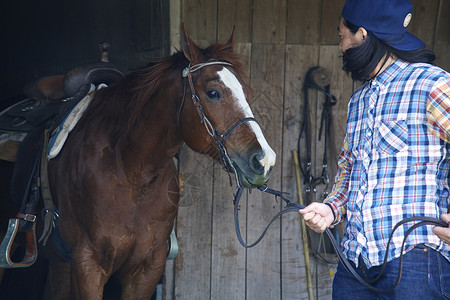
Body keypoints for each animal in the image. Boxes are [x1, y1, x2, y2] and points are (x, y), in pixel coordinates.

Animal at [0, 24, 276, 298]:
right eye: (213, 93)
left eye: (248, 93)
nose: (264, 160)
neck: (130, 171)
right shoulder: (87, 264)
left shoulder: (146, 270)